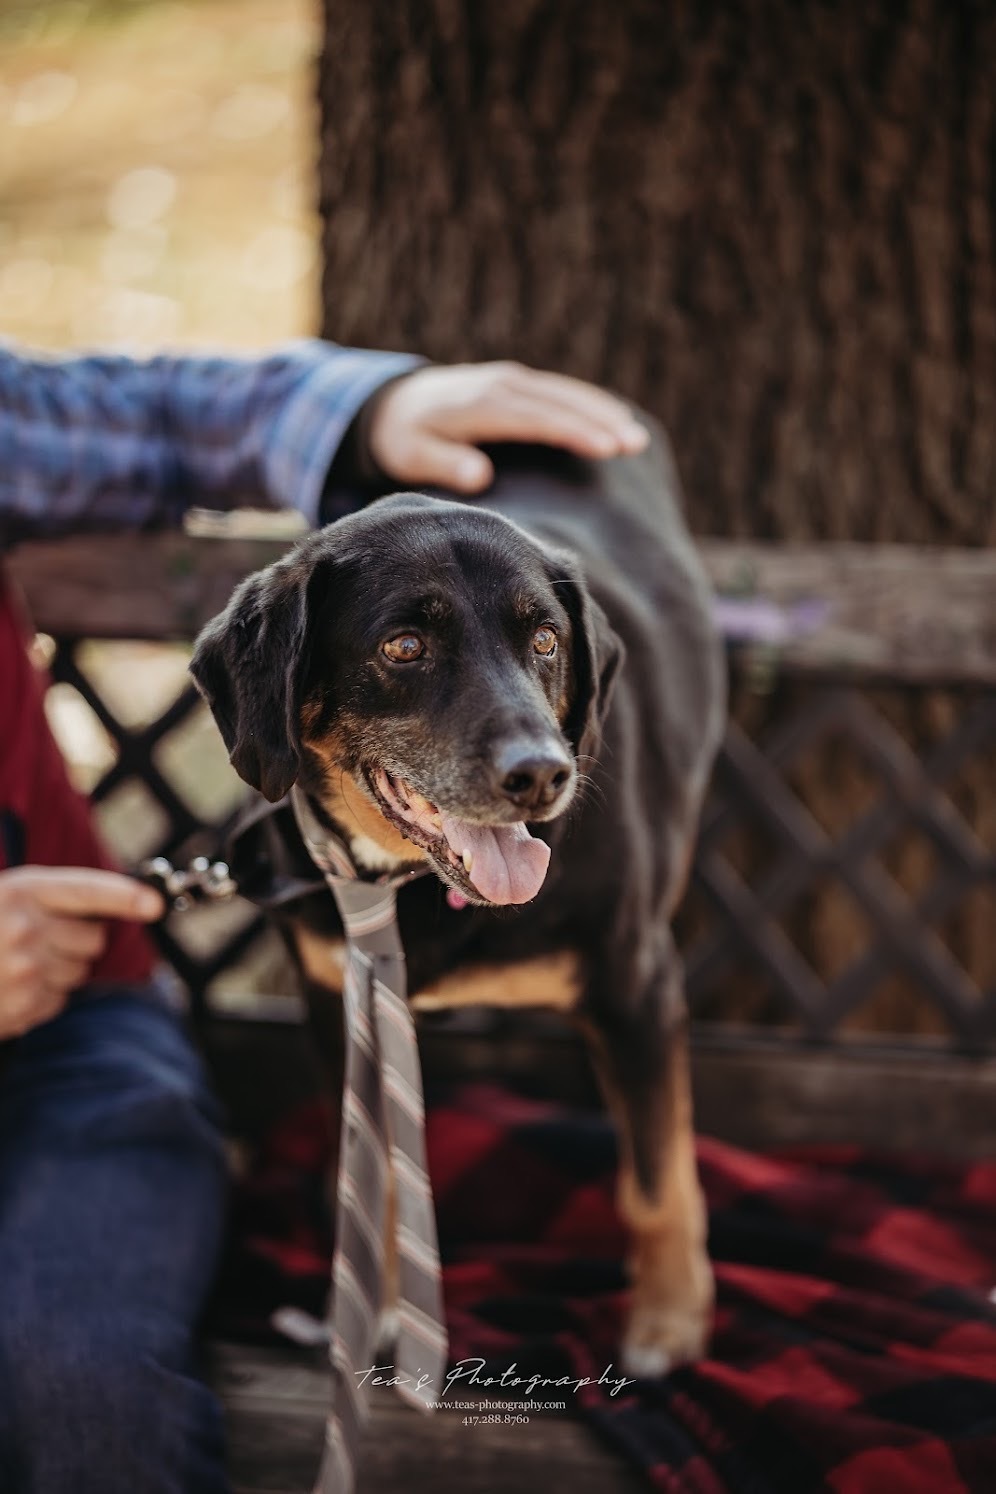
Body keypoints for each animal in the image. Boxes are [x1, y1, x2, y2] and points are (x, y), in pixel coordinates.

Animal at [192, 421, 725, 1374]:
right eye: (404, 647)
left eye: (545, 640)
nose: (541, 774)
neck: (413, 890)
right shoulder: (338, 1004)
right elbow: (370, 1179)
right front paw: (371, 1314)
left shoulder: (639, 987)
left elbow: (657, 1180)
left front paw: (668, 1323)